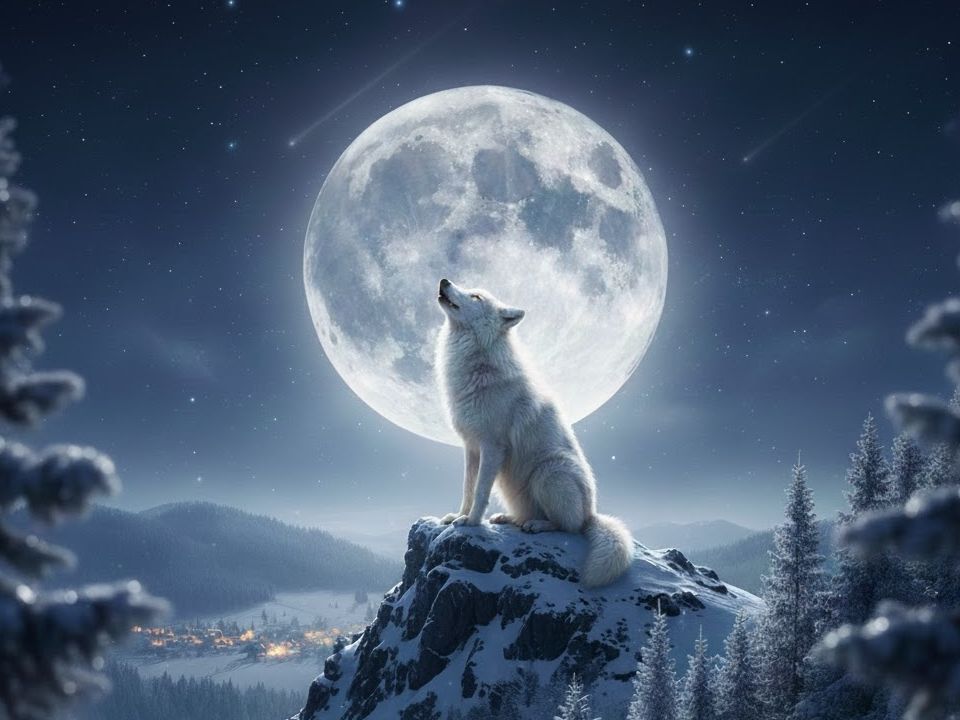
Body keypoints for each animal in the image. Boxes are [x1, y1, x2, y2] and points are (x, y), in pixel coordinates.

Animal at [434, 278, 634, 587]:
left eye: (476, 296)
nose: (444, 281)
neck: (476, 362)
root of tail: (591, 513)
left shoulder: (492, 446)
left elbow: (480, 491)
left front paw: (471, 522)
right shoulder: (471, 447)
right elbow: (467, 488)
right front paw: (458, 516)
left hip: (548, 474)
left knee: (567, 527)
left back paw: (537, 525)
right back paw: (508, 519)